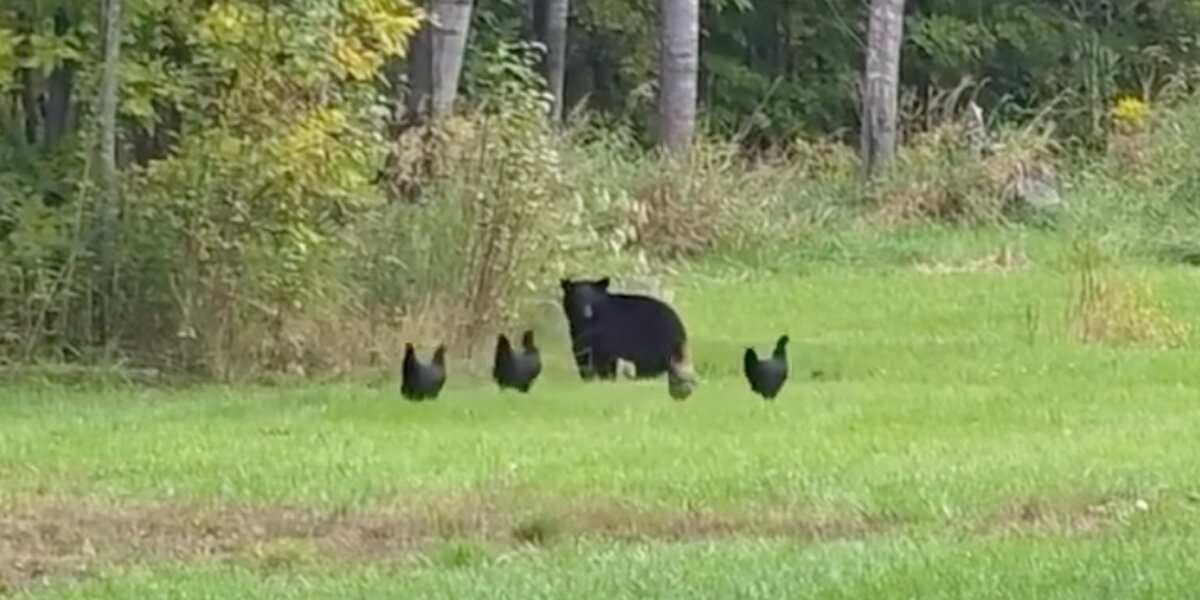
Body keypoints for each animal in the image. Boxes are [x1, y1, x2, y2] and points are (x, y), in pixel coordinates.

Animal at [560, 277, 690, 382]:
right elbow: (583, 355)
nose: (587, 312)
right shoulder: (578, 333)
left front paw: (604, 379)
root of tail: (681, 329)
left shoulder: (607, 332)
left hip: (652, 342)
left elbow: (602, 359)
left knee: (648, 365)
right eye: (578, 298)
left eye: (593, 298)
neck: (588, 323)